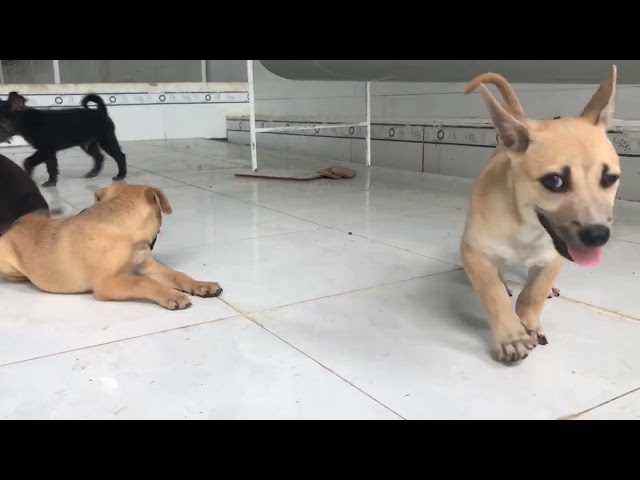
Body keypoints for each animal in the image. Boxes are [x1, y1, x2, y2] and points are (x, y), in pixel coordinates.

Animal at [0, 91, 128, 188]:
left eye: (2, 123)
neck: (27, 121)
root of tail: (100, 111)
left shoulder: (46, 150)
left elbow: (28, 161)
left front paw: (30, 174)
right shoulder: (49, 153)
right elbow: (52, 167)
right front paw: (51, 182)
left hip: (106, 140)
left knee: (120, 156)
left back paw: (121, 175)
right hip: (88, 144)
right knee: (99, 157)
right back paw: (93, 173)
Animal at [0, 182, 224, 310]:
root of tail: (19, 222)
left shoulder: (147, 266)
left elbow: (178, 275)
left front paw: (201, 285)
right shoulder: (107, 284)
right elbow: (144, 282)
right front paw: (171, 295)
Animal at [462, 64, 624, 364]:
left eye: (609, 179)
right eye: (554, 181)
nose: (598, 235)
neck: (526, 226)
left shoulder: (555, 257)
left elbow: (532, 293)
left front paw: (528, 322)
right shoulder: (472, 251)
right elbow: (492, 292)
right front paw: (511, 336)